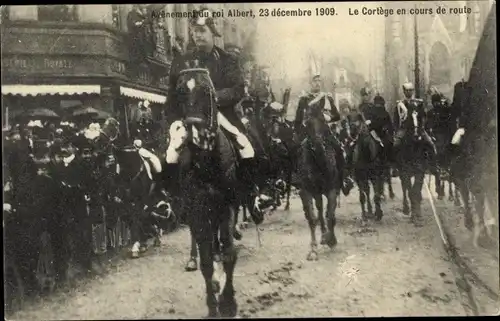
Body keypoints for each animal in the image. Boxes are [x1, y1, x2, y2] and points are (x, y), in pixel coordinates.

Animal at [174, 67, 240, 316]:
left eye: (207, 91)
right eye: (180, 92)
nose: (196, 136)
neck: (207, 162)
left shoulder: (228, 206)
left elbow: (230, 253)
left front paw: (229, 301)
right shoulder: (197, 212)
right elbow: (205, 263)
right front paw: (213, 305)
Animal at [296, 102, 340, 260]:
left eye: (323, 120)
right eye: (307, 123)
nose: (318, 145)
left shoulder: (332, 189)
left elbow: (330, 216)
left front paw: (331, 240)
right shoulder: (308, 191)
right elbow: (312, 218)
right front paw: (313, 249)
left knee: (325, 212)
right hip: (316, 193)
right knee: (319, 212)